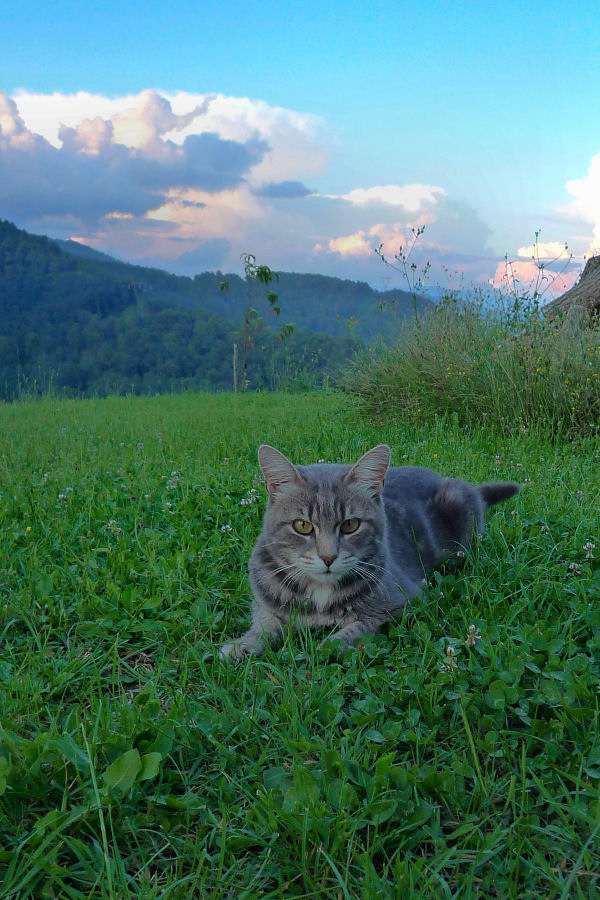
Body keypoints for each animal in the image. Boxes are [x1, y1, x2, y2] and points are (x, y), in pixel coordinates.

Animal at [218, 444, 516, 660]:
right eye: (302, 526)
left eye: (350, 524)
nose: (328, 557)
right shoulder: (265, 603)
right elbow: (264, 625)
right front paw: (241, 645)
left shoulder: (406, 599)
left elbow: (363, 625)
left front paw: (328, 645)